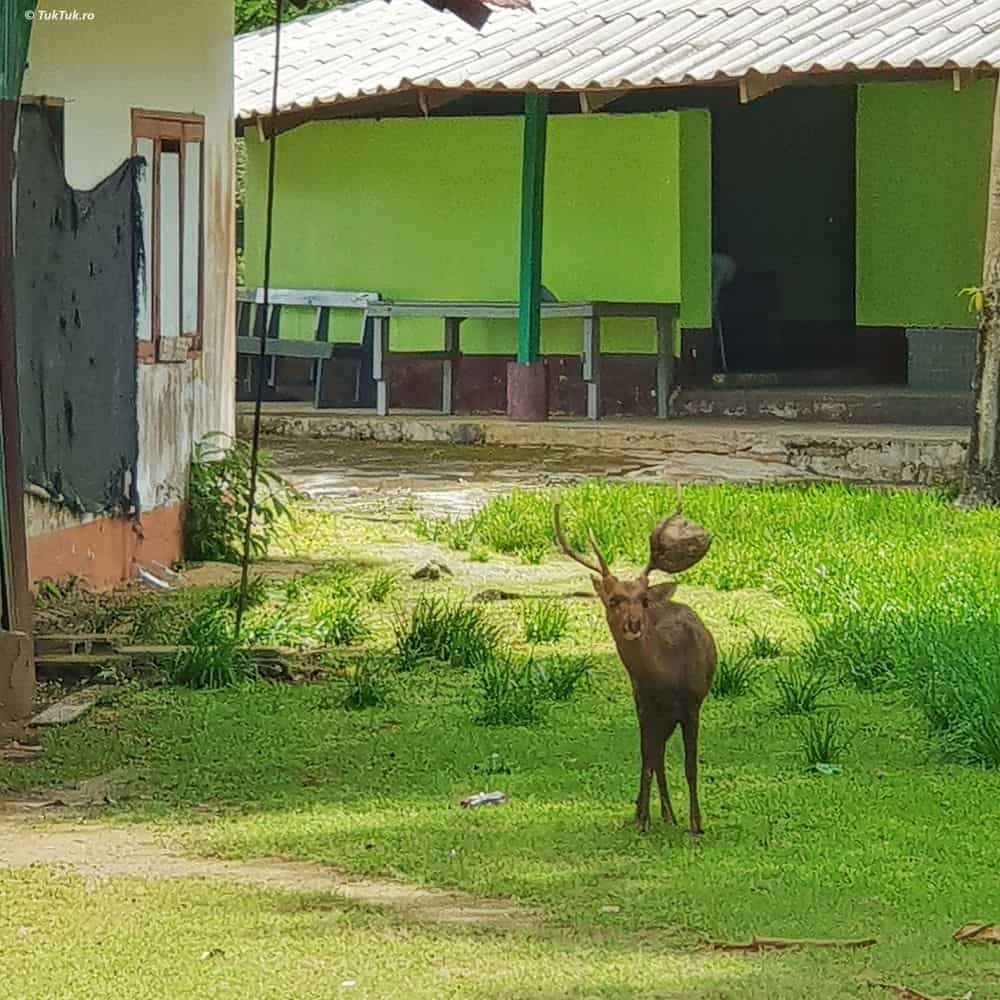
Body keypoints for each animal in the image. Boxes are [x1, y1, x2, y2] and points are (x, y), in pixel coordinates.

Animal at [552, 500, 716, 836]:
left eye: (642, 599)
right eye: (613, 600)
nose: (634, 623)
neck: (669, 675)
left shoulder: (693, 704)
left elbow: (690, 765)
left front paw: (696, 824)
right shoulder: (644, 702)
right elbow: (647, 757)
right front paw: (642, 818)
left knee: (659, 752)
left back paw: (669, 815)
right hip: (647, 706)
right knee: (654, 754)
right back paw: (660, 814)